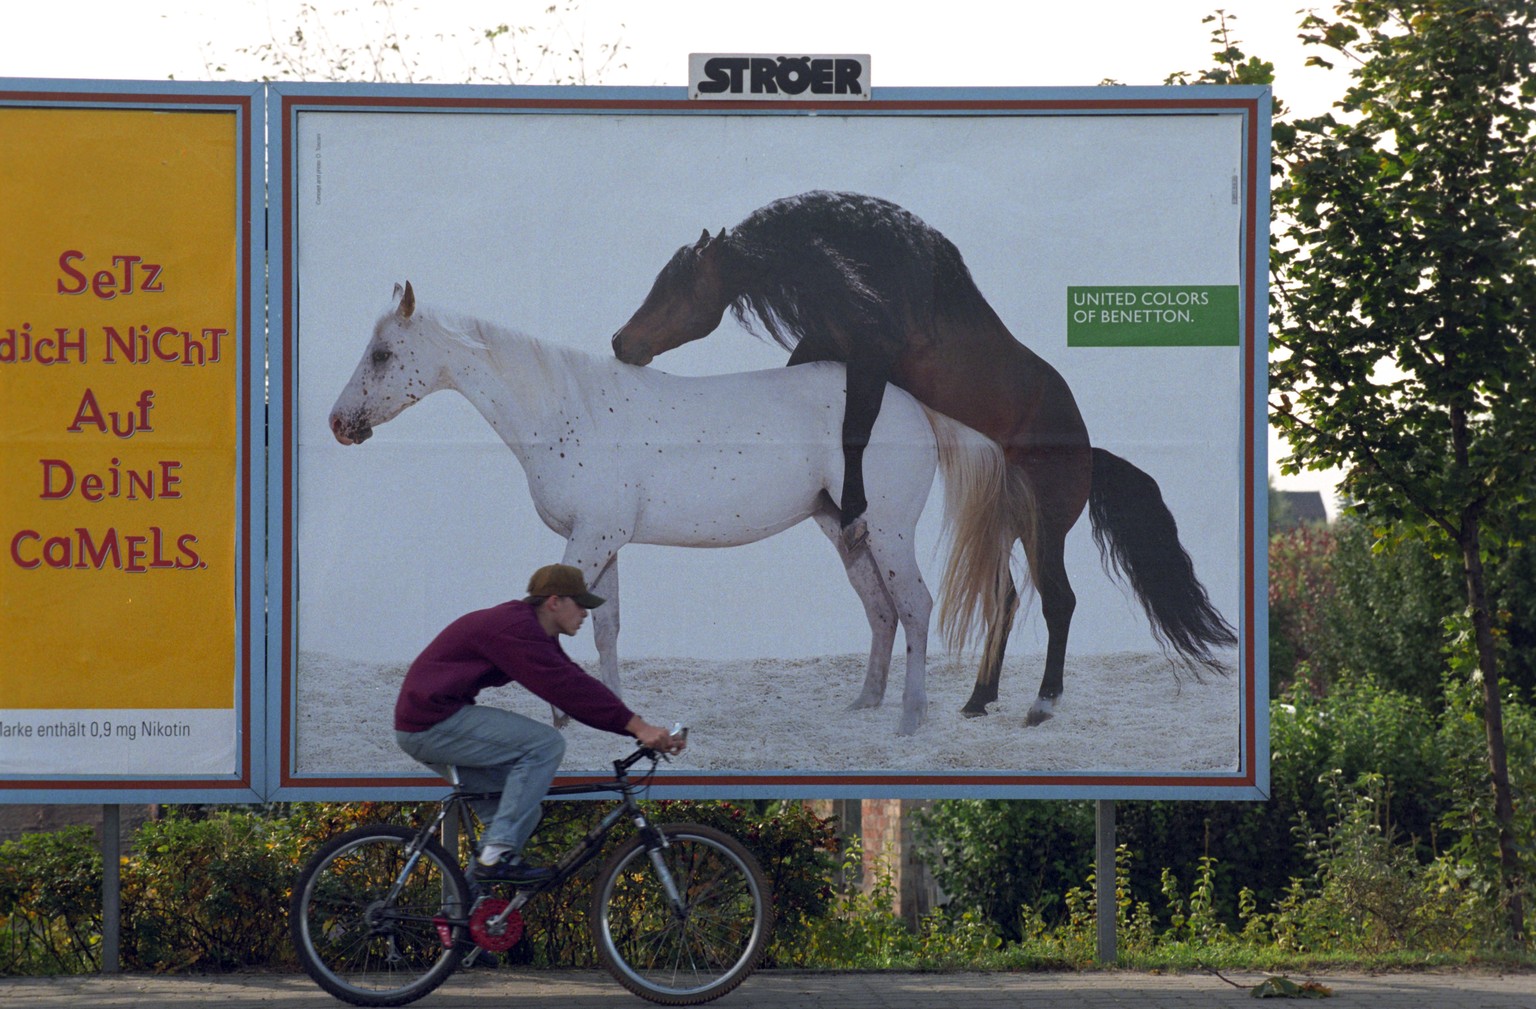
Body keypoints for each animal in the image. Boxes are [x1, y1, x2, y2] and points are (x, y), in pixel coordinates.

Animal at [330, 282, 1013, 731]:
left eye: (383, 354)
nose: (339, 424)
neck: (569, 411)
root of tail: (913, 405)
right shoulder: (602, 543)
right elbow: (604, 626)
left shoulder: (591, 539)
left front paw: (562, 715)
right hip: (847, 528)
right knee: (880, 610)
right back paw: (865, 704)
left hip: (891, 531)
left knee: (914, 607)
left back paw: (910, 719)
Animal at [611, 191, 1234, 724]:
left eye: (677, 286)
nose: (621, 342)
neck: (880, 276)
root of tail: (1088, 452)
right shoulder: (829, 345)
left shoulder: (872, 356)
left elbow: (855, 427)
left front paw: (853, 504)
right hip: (1003, 525)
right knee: (1006, 600)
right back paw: (979, 699)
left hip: (1045, 530)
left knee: (1058, 602)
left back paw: (1042, 703)